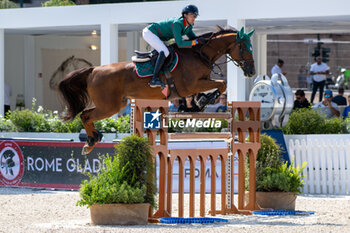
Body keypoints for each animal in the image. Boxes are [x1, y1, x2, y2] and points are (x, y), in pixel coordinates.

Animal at [56, 26, 254, 155]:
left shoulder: (195, 86)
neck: (200, 54)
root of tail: (94, 70)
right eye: (244, 47)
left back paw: (92, 140)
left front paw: (197, 104)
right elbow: (221, 84)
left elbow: (211, 89)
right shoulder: (190, 85)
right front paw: (205, 100)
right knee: (85, 115)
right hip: (109, 106)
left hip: (114, 104)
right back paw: (91, 141)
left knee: (86, 115)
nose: (251, 71)